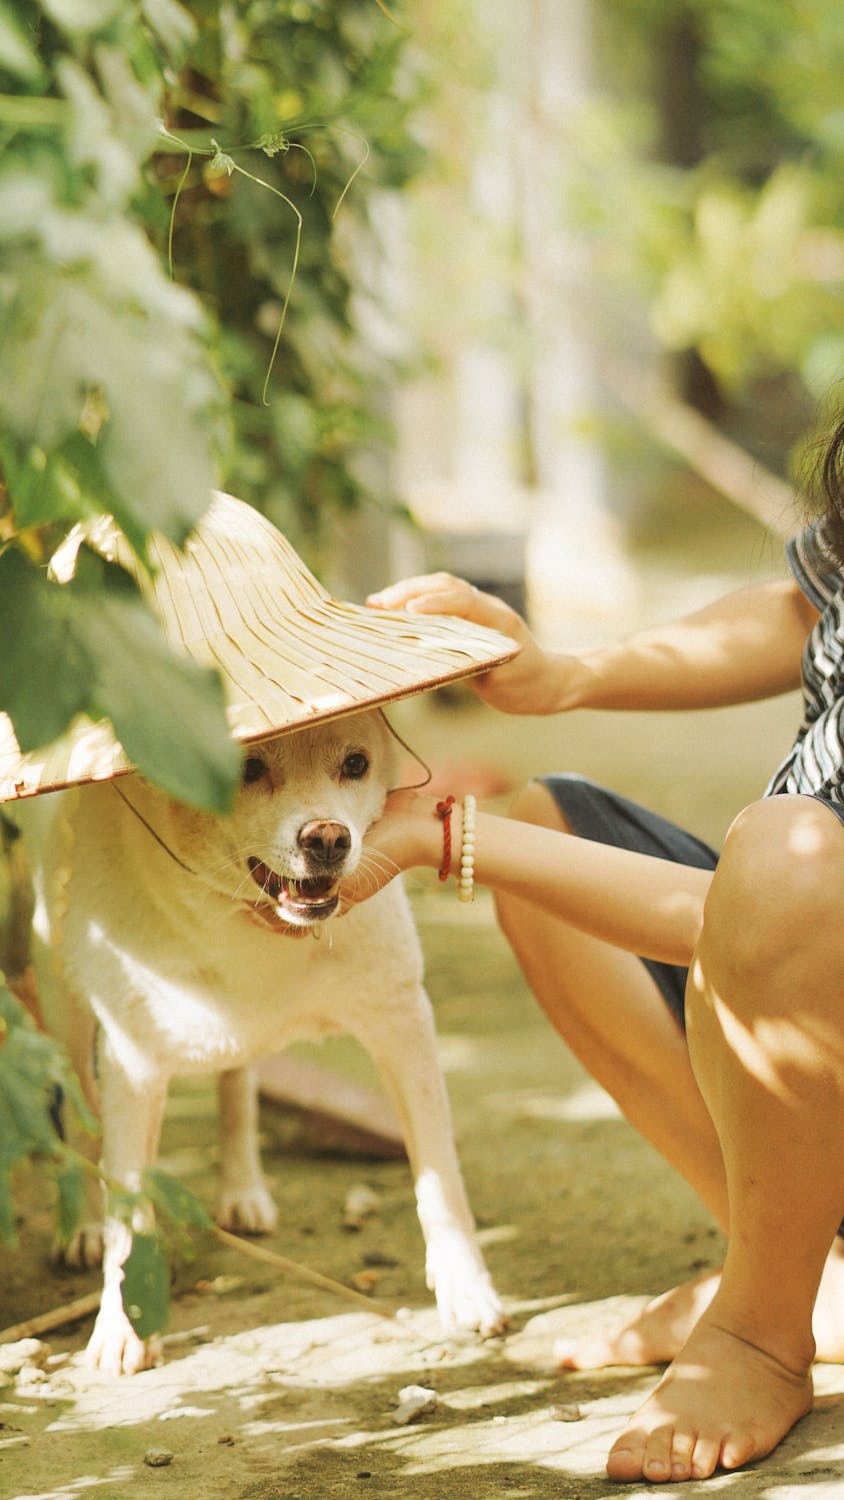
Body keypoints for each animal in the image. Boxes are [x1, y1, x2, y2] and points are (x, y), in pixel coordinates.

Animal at [16, 711, 506, 1374]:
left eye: (356, 764)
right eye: (246, 768)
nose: (328, 838)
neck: (257, 936)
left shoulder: (401, 1020)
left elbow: (440, 1181)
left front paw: (467, 1290)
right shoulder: (134, 1065)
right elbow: (129, 1211)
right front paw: (121, 1328)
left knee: (237, 1089)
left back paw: (244, 1190)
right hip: (61, 1003)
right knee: (81, 1125)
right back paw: (83, 1229)